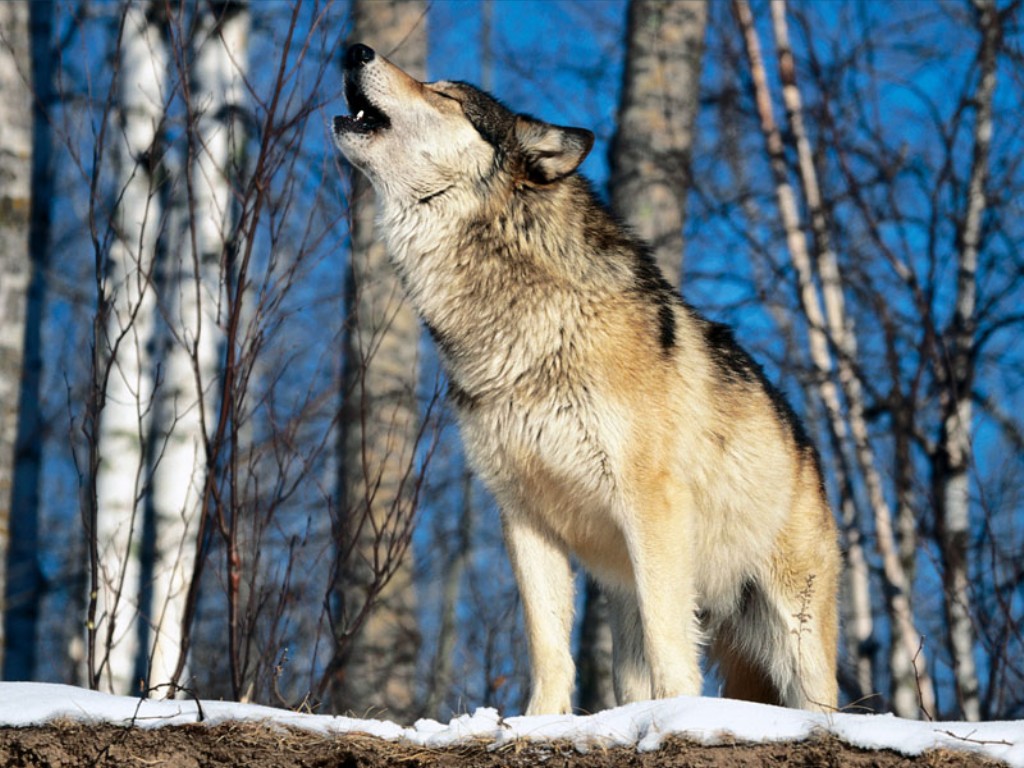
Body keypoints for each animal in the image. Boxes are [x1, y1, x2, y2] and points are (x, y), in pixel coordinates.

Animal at [333, 43, 840, 715]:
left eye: (444, 95)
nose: (354, 49)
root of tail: (809, 447)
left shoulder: (651, 505)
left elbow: (671, 642)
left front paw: (676, 716)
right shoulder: (524, 517)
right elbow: (548, 646)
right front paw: (538, 723)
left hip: (793, 633)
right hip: (628, 603)